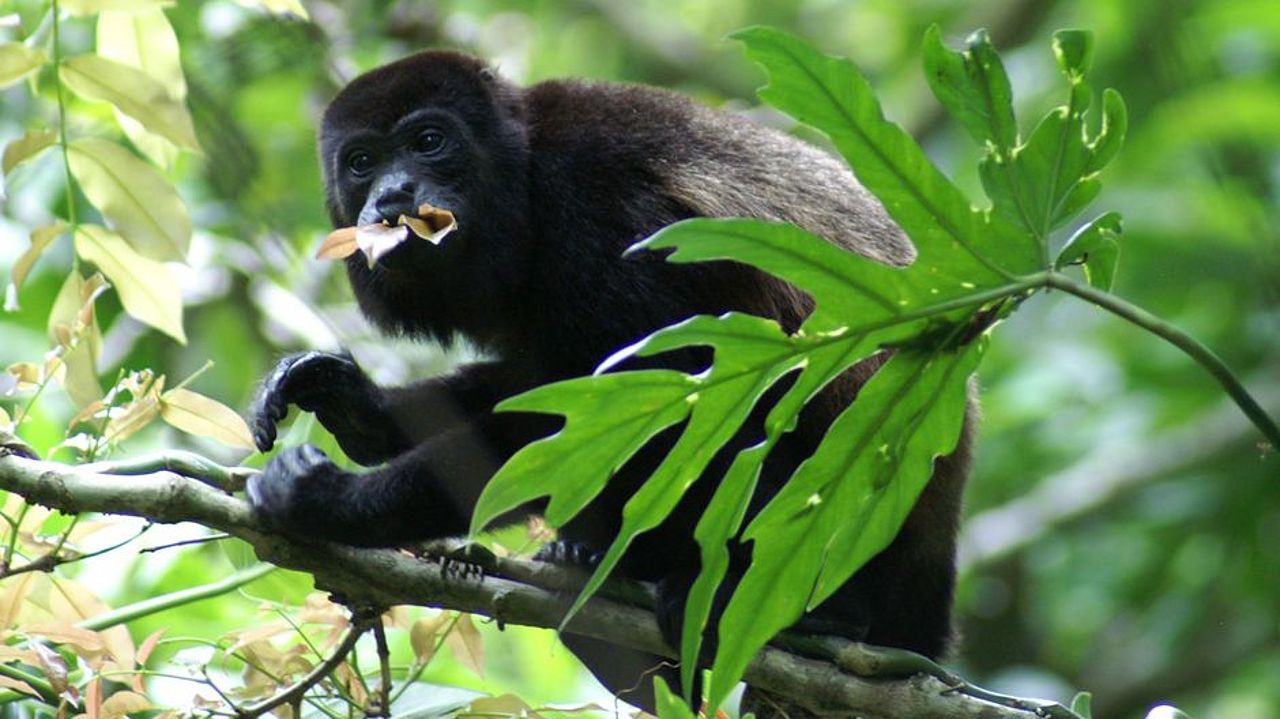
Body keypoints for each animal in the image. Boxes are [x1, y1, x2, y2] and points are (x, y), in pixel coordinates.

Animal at [247, 51, 967, 711]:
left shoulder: (600, 210)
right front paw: (353, 404)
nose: (392, 196)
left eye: (429, 141)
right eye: (361, 161)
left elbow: (661, 394)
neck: (523, 184)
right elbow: (535, 384)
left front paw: (333, 500)